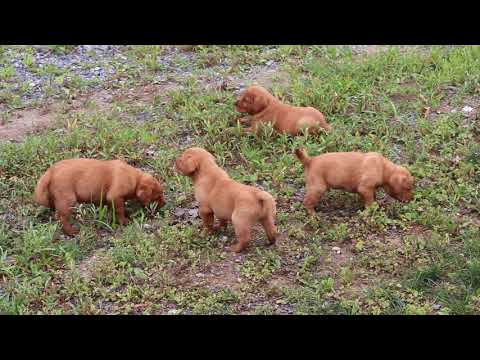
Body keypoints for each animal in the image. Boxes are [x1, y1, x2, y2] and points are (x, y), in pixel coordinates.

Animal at [33, 159, 165, 235]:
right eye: (158, 196)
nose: (165, 204)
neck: (134, 178)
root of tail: (50, 171)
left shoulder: (110, 199)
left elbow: (115, 209)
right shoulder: (114, 196)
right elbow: (119, 210)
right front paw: (124, 221)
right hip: (67, 198)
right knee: (61, 217)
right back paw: (71, 231)